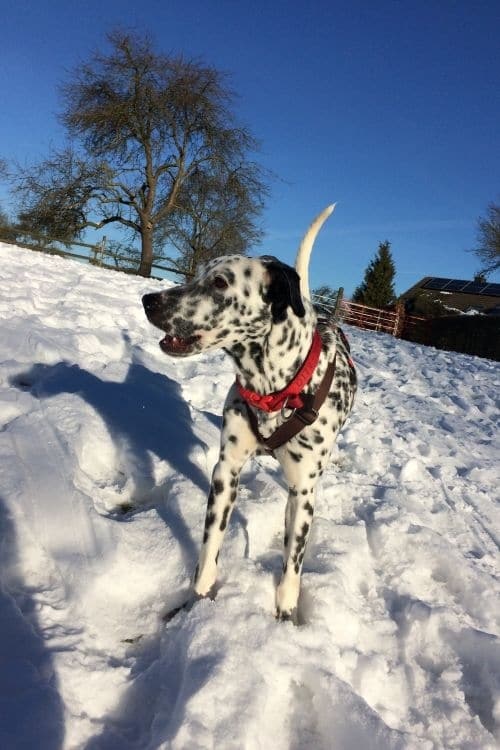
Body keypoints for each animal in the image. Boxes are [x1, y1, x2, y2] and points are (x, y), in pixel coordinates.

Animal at [143, 206, 358, 624]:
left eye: (219, 282)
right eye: (198, 274)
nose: (148, 299)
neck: (274, 391)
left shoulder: (303, 492)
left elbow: (292, 564)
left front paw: (286, 613)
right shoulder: (225, 472)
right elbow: (210, 546)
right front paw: (199, 598)